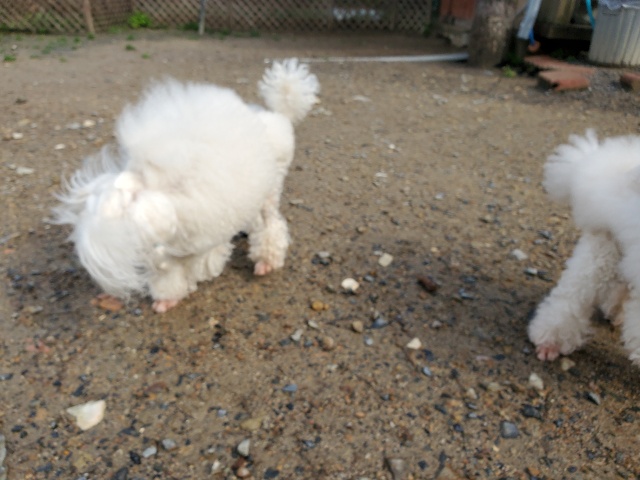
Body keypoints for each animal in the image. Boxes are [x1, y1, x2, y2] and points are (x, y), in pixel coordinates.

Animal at [53, 59, 320, 312]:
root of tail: (278, 115)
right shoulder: (167, 252)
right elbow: (168, 275)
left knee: (270, 225)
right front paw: (167, 299)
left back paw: (266, 261)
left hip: (269, 191)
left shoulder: (198, 236)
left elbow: (199, 262)